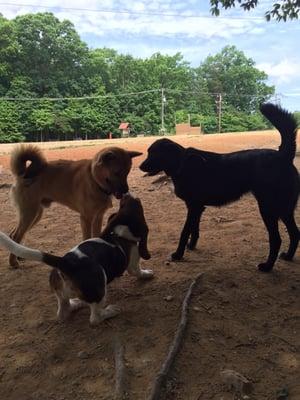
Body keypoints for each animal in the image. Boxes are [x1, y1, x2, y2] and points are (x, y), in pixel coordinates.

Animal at [8, 145, 142, 268]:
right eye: (116, 172)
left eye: (127, 172)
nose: (125, 191)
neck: (93, 179)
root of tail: (24, 172)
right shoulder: (86, 219)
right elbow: (87, 238)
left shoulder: (98, 217)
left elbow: (96, 236)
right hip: (30, 213)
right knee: (16, 235)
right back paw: (13, 262)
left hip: (35, 215)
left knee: (15, 234)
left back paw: (18, 255)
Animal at [140, 103, 298, 272]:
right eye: (149, 152)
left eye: (155, 153)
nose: (140, 166)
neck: (182, 164)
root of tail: (283, 156)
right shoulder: (197, 208)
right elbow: (194, 230)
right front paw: (191, 246)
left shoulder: (193, 207)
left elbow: (185, 231)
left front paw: (178, 254)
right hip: (285, 209)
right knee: (295, 233)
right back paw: (288, 256)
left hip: (268, 209)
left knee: (276, 239)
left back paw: (267, 266)